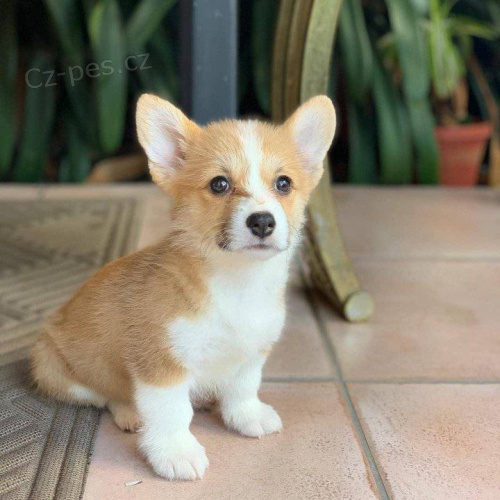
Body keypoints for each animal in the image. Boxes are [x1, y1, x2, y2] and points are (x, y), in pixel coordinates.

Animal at [30, 94, 336, 480]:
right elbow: (172, 412)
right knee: (105, 394)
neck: (237, 282)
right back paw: (131, 413)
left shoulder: (253, 351)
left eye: (283, 184)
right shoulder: (162, 363)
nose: (263, 222)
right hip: (53, 369)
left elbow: (243, 387)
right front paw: (175, 453)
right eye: (219, 184)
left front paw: (247, 416)